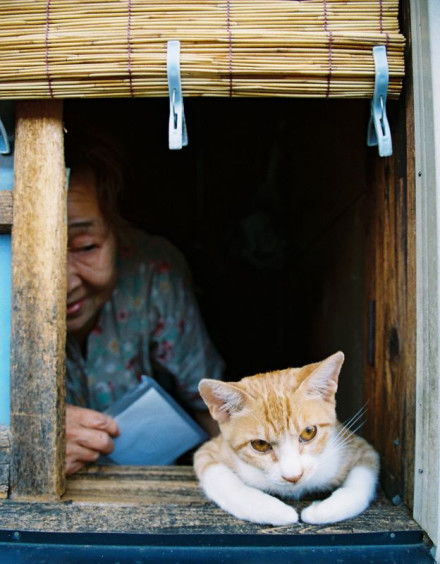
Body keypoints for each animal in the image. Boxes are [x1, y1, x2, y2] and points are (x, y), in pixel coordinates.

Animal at [194, 350, 380, 528]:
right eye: (260, 444)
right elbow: (224, 482)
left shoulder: (357, 446)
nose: (294, 477)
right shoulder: (209, 451)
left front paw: (322, 510)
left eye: (308, 432)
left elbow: (361, 481)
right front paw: (275, 511)